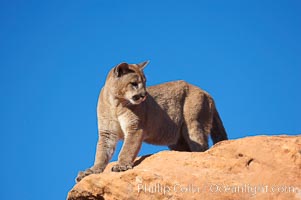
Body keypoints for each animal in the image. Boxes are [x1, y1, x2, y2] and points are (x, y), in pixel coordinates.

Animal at [75, 60, 227, 181]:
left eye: (145, 82)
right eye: (134, 83)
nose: (144, 95)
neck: (115, 103)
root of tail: (206, 92)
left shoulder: (135, 128)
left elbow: (127, 148)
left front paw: (121, 165)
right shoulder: (107, 133)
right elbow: (101, 153)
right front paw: (93, 170)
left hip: (193, 125)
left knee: (202, 148)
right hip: (177, 140)